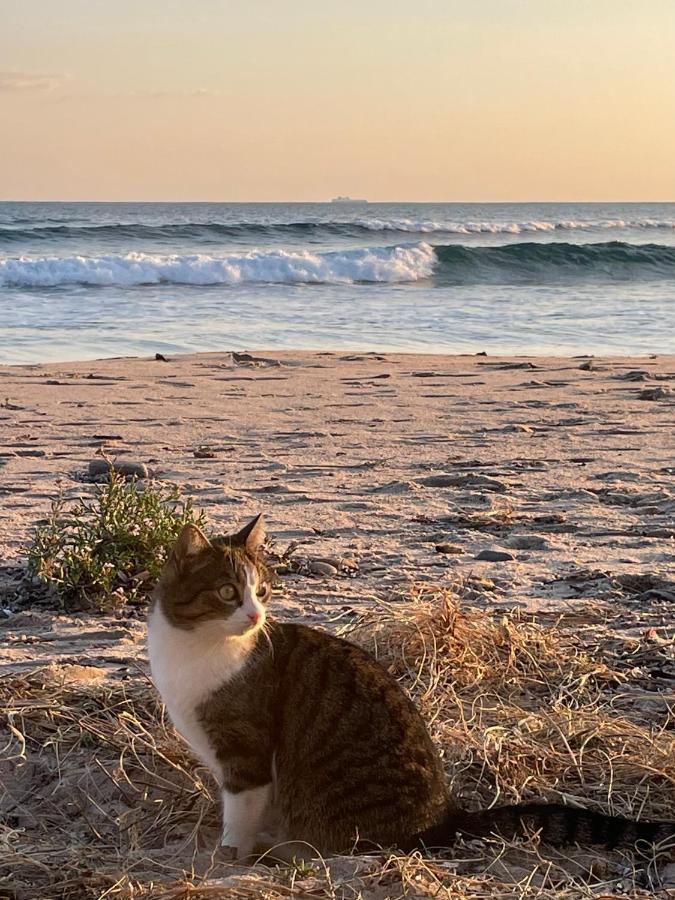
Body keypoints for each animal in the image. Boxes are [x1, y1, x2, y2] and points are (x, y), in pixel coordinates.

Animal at [148, 512, 675, 856]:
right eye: (227, 592)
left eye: (262, 591)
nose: (256, 616)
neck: (194, 649)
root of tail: (444, 815)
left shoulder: (246, 752)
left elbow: (240, 811)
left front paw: (229, 858)